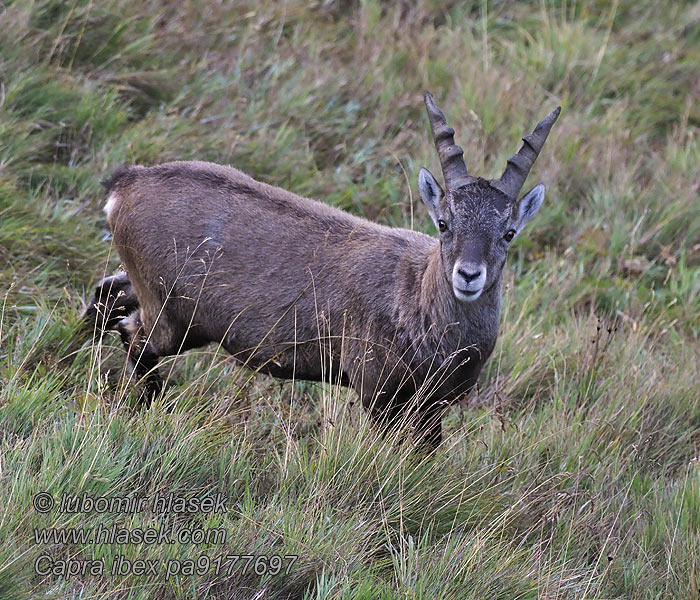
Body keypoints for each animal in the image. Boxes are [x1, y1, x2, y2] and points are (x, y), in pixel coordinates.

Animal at [86, 92, 556, 446]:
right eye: (444, 223)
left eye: (508, 233)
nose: (468, 275)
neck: (417, 301)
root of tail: (126, 183)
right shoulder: (378, 391)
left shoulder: (431, 406)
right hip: (171, 317)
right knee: (133, 334)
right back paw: (150, 405)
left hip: (148, 291)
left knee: (108, 294)